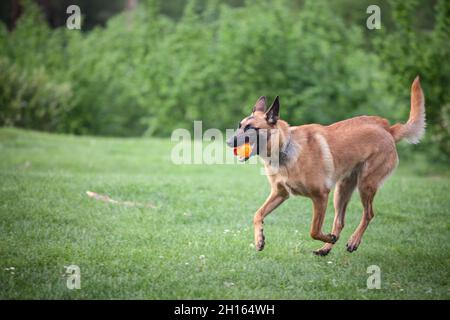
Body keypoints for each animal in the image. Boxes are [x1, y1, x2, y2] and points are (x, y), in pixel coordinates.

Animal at [229, 77, 426, 255]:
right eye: (239, 125)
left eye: (250, 128)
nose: (229, 141)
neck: (285, 148)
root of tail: (388, 129)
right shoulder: (280, 193)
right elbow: (257, 214)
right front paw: (259, 239)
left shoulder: (320, 196)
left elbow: (314, 230)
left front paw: (328, 237)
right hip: (342, 191)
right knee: (340, 221)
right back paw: (326, 248)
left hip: (365, 185)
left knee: (368, 214)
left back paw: (352, 241)